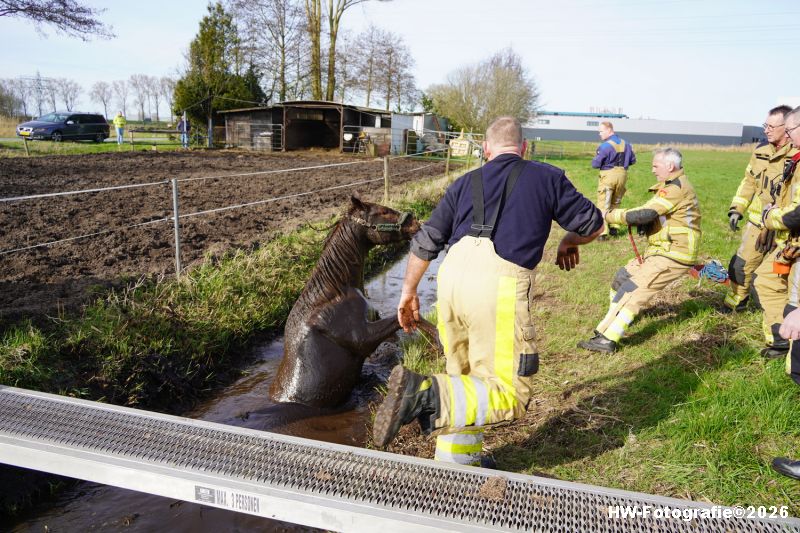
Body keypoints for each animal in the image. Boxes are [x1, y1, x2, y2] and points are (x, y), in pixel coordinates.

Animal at [269, 196, 437, 408]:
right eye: (383, 212)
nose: (416, 224)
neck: (336, 289)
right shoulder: (364, 339)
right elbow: (407, 318)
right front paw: (439, 339)